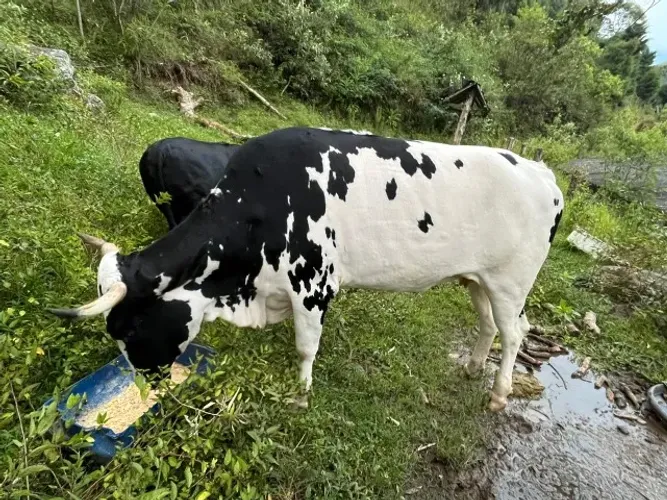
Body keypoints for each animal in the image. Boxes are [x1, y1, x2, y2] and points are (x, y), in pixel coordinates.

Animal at [48, 127, 564, 412]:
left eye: (132, 327)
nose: (146, 386)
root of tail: (539, 171)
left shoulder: (314, 284)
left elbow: (304, 347)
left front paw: (299, 396)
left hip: (512, 282)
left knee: (515, 332)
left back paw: (498, 394)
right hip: (478, 278)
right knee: (488, 325)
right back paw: (473, 367)